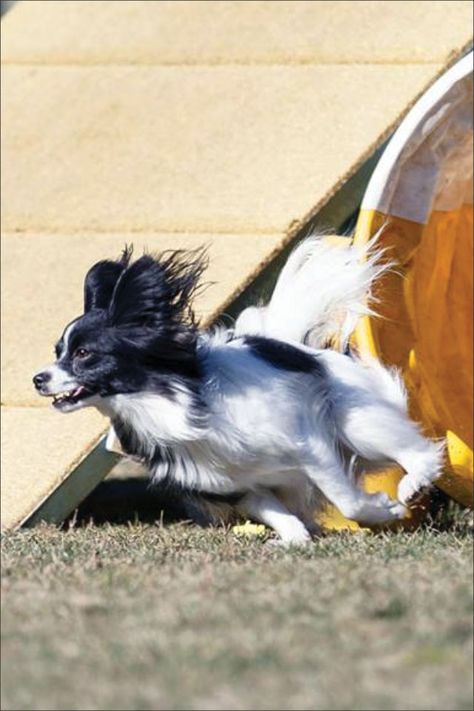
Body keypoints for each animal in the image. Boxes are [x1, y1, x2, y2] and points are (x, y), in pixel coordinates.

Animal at [33, 236, 444, 544]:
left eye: (84, 354)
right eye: (58, 352)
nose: (38, 379)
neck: (160, 402)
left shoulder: (309, 445)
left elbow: (347, 499)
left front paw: (384, 509)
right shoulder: (236, 485)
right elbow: (279, 515)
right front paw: (294, 540)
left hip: (355, 423)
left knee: (416, 448)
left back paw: (413, 482)